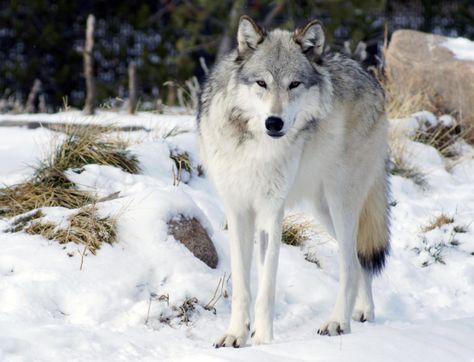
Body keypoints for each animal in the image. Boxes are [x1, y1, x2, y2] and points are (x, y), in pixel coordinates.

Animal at [196, 14, 388, 348]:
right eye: (262, 83)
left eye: (294, 84)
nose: (274, 122)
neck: (255, 147)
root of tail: (371, 78)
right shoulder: (238, 211)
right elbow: (244, 286)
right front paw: (236, 335)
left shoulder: (272, 212)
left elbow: (267, 286)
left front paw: (263, 341)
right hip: (324, 210)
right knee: (358, 259)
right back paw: (364, 311)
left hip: (341, 202)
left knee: (350, 264)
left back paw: (338, 322)